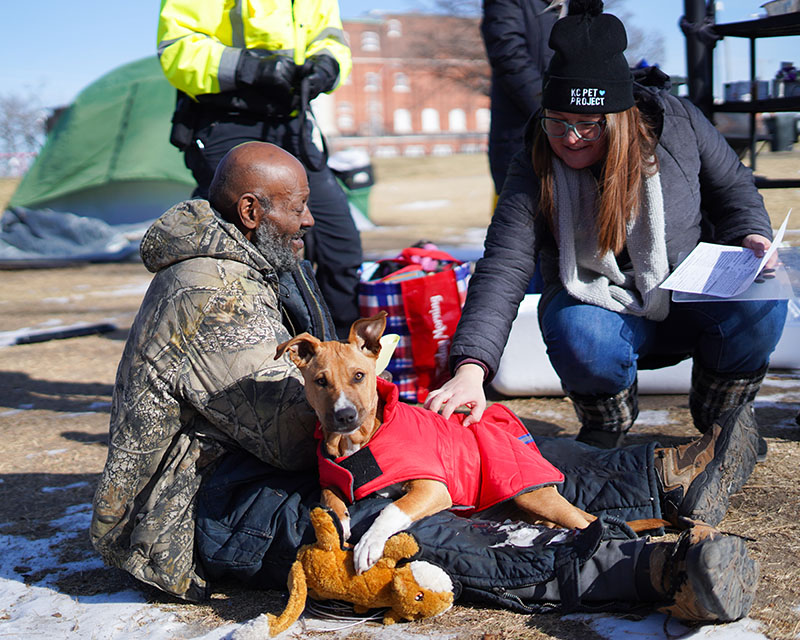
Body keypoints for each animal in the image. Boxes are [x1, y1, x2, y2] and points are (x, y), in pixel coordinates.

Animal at [278, 312, 660, 572]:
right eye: (320, 381)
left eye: (359, 376)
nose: (344, 416)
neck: (360, 442)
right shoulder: (332, 481)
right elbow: (331, 501)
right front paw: (338, 524)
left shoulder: (433, 488)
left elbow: (390, 509)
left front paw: (369, 542)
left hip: (536, 496)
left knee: (588, 523)